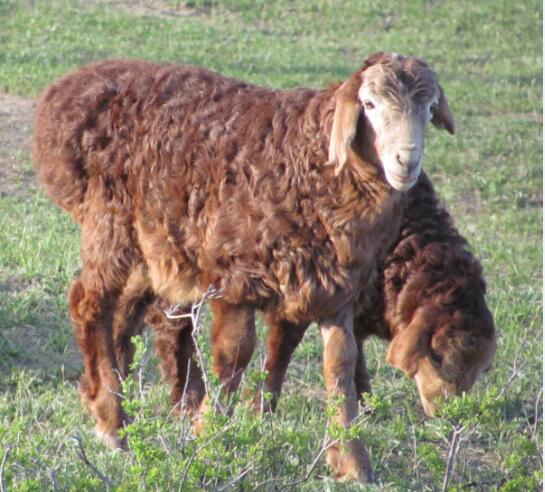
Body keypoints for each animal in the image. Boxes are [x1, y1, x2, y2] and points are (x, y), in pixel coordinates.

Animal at [31, 52, 452, 482]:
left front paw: (352, 460)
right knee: (89, 303)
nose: (407, 160)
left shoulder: (332, 286)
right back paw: (113, 423)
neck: (311, 161)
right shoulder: (236, 274)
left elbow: (340, 363)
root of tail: (64, 92)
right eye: (369, 105)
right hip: (108, 219)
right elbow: (235, 353)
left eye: (429, 108)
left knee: (122, 312)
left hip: (151, 244)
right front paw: (207, 434)